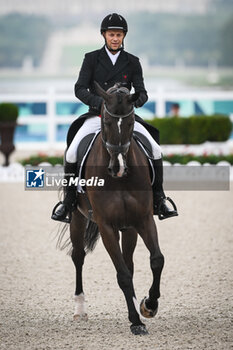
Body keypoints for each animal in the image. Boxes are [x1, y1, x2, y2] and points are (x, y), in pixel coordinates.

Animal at [69, 82, 164, 336]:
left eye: (130, 122)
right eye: (107, 123)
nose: (118, 168)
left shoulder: (143, 220)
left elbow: (156, 260)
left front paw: (148, 306)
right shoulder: (106, 227)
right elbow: (122, 274)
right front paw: (136, 321)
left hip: (129, 228)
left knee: (129, 261)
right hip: (77, 218)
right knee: (78, 257)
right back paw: (80, 309)